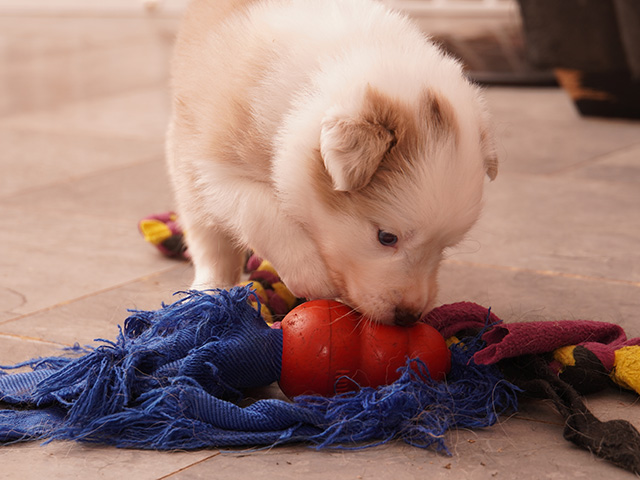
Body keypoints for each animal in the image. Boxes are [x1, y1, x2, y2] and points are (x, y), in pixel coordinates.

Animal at [166, 0, 498, 326]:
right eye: (386, 237)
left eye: (446, 246)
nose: (408, 318)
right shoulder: (211, 166)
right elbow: (258, 210)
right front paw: (311, 275)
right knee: (209, 241)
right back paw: (207, 294)